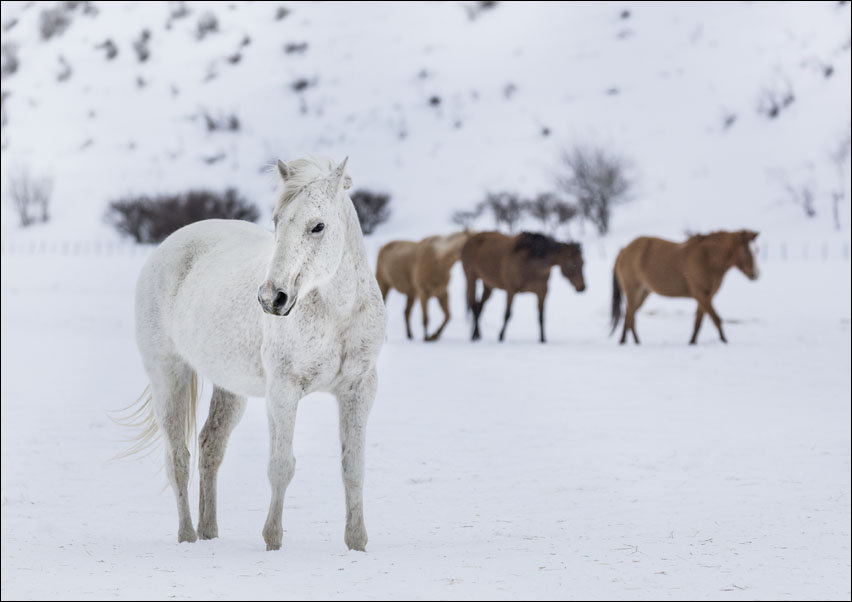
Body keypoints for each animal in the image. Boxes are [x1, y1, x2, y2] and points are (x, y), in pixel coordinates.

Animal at [126, 156, 386, 551]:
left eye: (318, 226)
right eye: (277, 220)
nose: (271, 298)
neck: (336, 314)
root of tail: (168, 245)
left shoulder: (359, 390)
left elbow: (353, 468)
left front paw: (357, 543)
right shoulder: (283, 391)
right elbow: (281, 466)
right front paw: (273, 540)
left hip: (229, 388)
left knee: (210, 447)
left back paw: (209, 532)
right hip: (168, 375)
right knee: (178, 459)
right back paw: (187, 536)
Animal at [611, 229, 759, 345]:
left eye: (756, 250)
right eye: (745, 250)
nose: (756, 274)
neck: (707, 258)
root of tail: (623, 250)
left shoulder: (707, 296)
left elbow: (698, 321)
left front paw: (692, 342)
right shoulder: (700, 294)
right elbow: (716, 319)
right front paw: (724, 341)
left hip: (643, 292)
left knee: (629, 314)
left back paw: (627, 341)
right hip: (633, 290)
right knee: (630, 315)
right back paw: (633, 342)